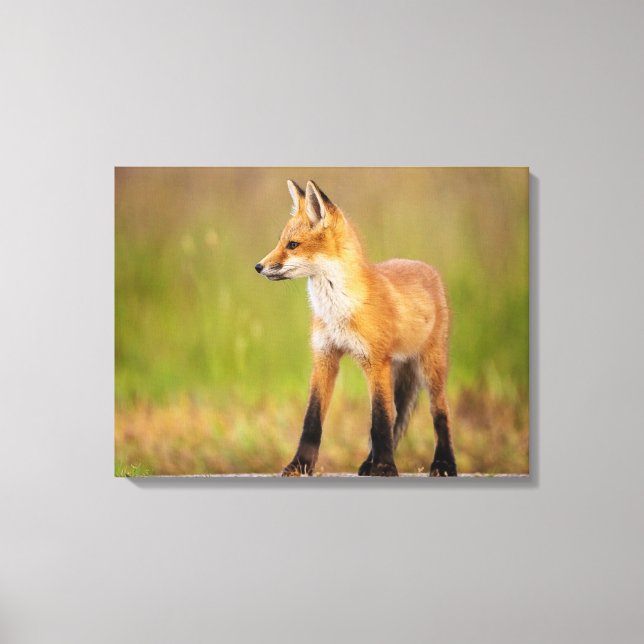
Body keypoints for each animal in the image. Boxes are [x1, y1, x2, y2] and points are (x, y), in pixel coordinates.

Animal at [255, 180, 457, 477]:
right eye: (280, 242)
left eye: (293, 245)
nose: (258, 266)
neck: (338, 310)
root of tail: (424, 266)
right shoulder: (325, 357)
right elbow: (312, 420)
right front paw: (299, 465)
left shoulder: (375, 361)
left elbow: (380, 420)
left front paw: (385, 467)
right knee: (397, 413)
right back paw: (368, 463)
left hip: (430, 366)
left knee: (439, 413)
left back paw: (443, 463)